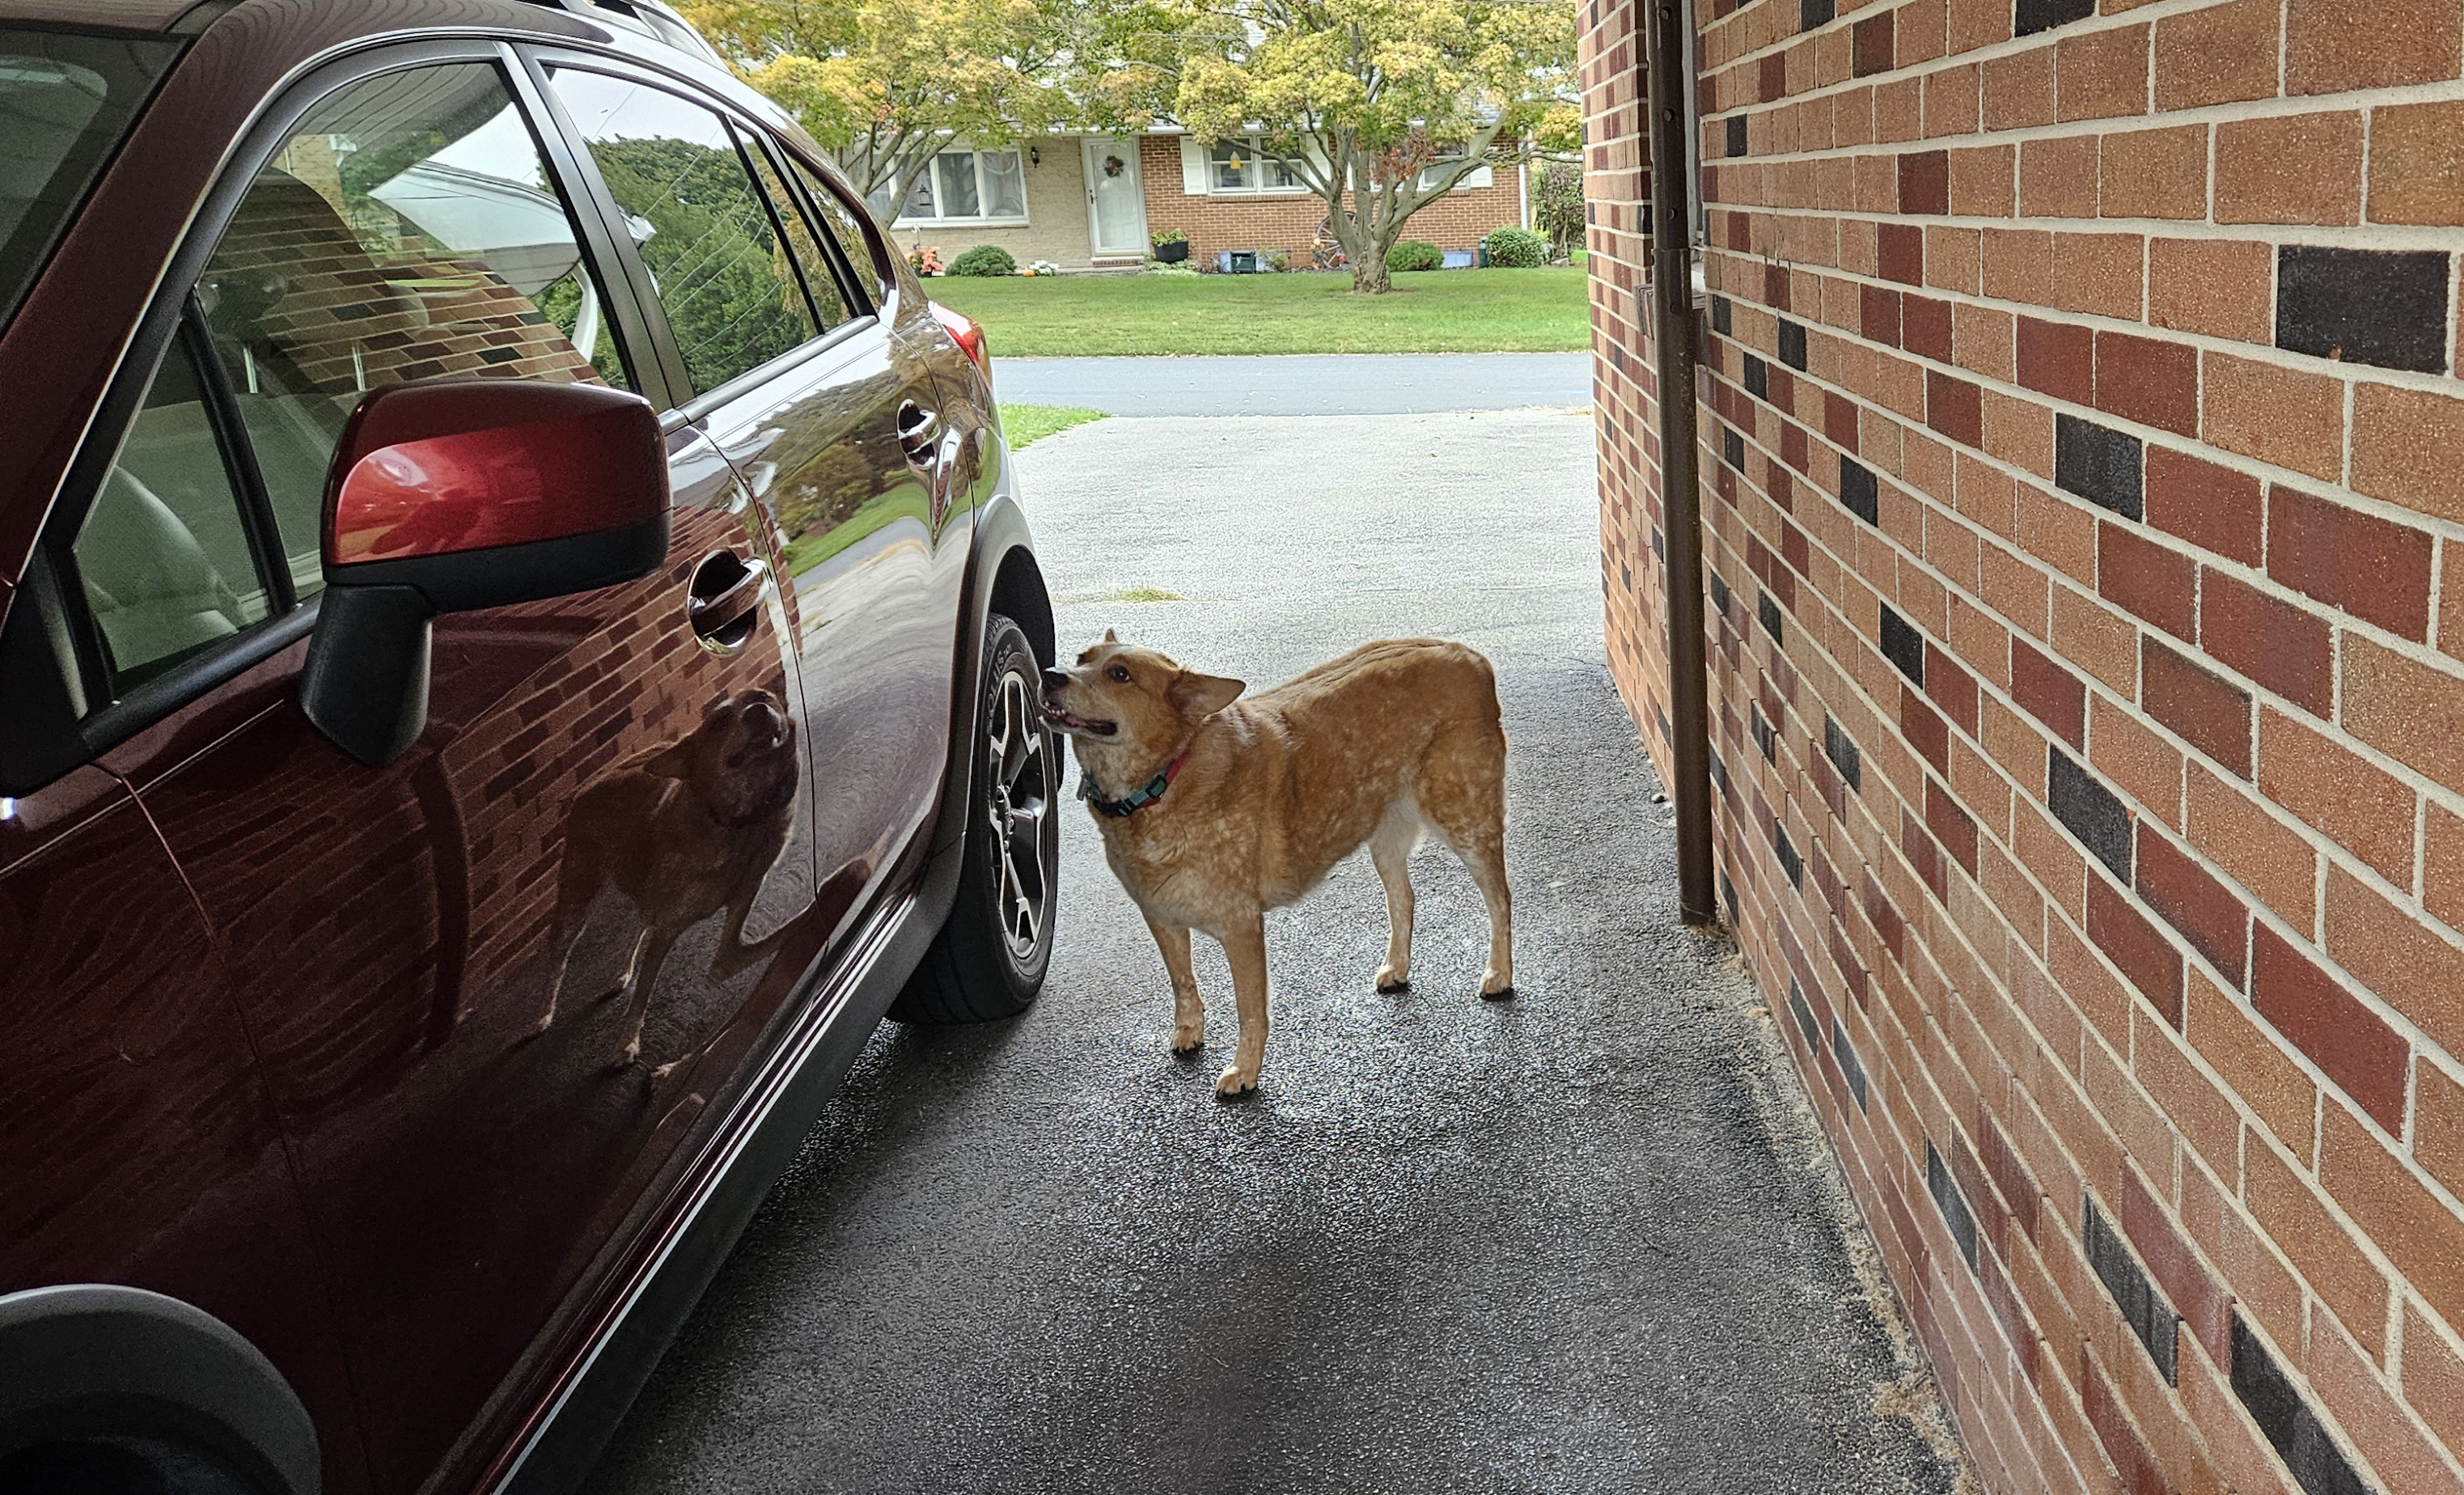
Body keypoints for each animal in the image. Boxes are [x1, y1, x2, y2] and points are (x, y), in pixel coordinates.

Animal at [535, 689, 800, 1076]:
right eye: (719, 722)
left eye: (764, 697)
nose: (758, 710)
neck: (737, 826)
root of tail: (593, 783)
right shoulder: (669, 927)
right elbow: (644, 994)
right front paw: (627, 1044)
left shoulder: (741, 904)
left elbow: (743, 951)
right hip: (577, 895)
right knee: (559, 956)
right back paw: (544, 1014)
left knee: (641, 920)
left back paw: (622, 973)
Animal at [1042, 633, 1512, 1096]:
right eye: (1082, 658)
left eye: (1120, 674)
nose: (1050, 675)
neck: (1167, 775)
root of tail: (1464, 652)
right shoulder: (1161, 917)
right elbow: (1183, 984)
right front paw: (1189, 1031)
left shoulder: (1241, 926)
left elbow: (1250, 1010)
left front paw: (1245, 1070)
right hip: (1384, 833)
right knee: (1404, 899)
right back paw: (1397, 967)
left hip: (1466, 821)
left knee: (1500, 900)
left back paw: (1499, 973)